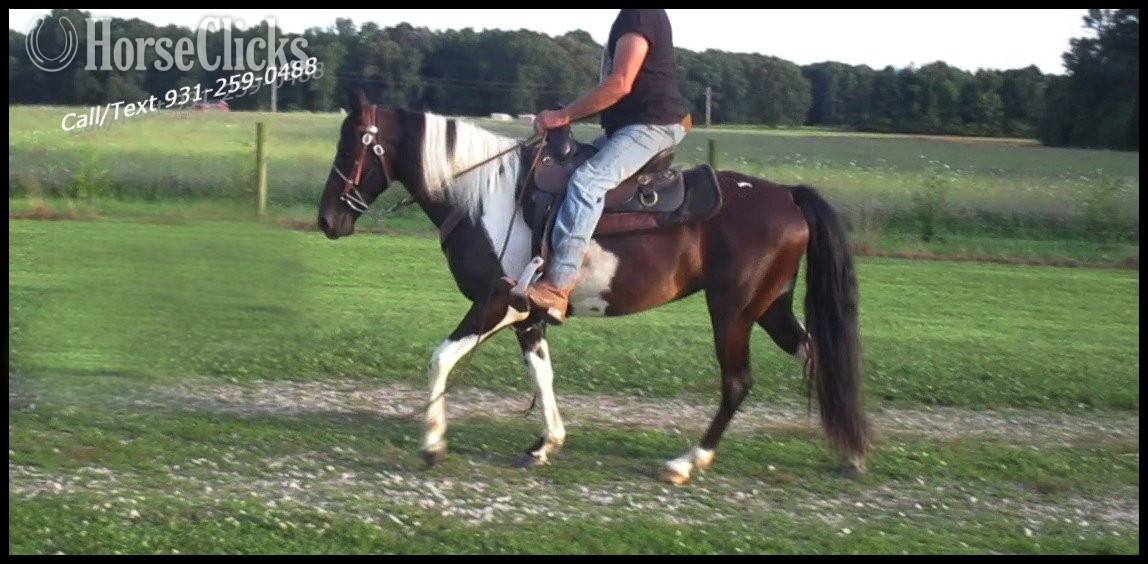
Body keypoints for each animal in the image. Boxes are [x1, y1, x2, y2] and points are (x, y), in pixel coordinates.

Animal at [316, 89, 870, 484]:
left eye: (352, 143)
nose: (327, 220)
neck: (484, 196)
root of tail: (788, 195)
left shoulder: (495, 303)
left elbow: (441, 358)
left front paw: (432, 444)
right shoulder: (527, 313)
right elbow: (542, 374)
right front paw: (546, 444)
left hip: (732, 311)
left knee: (738, 382)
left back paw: (687, 461)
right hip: (770, 306)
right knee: (818, 357)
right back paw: (852, 451)